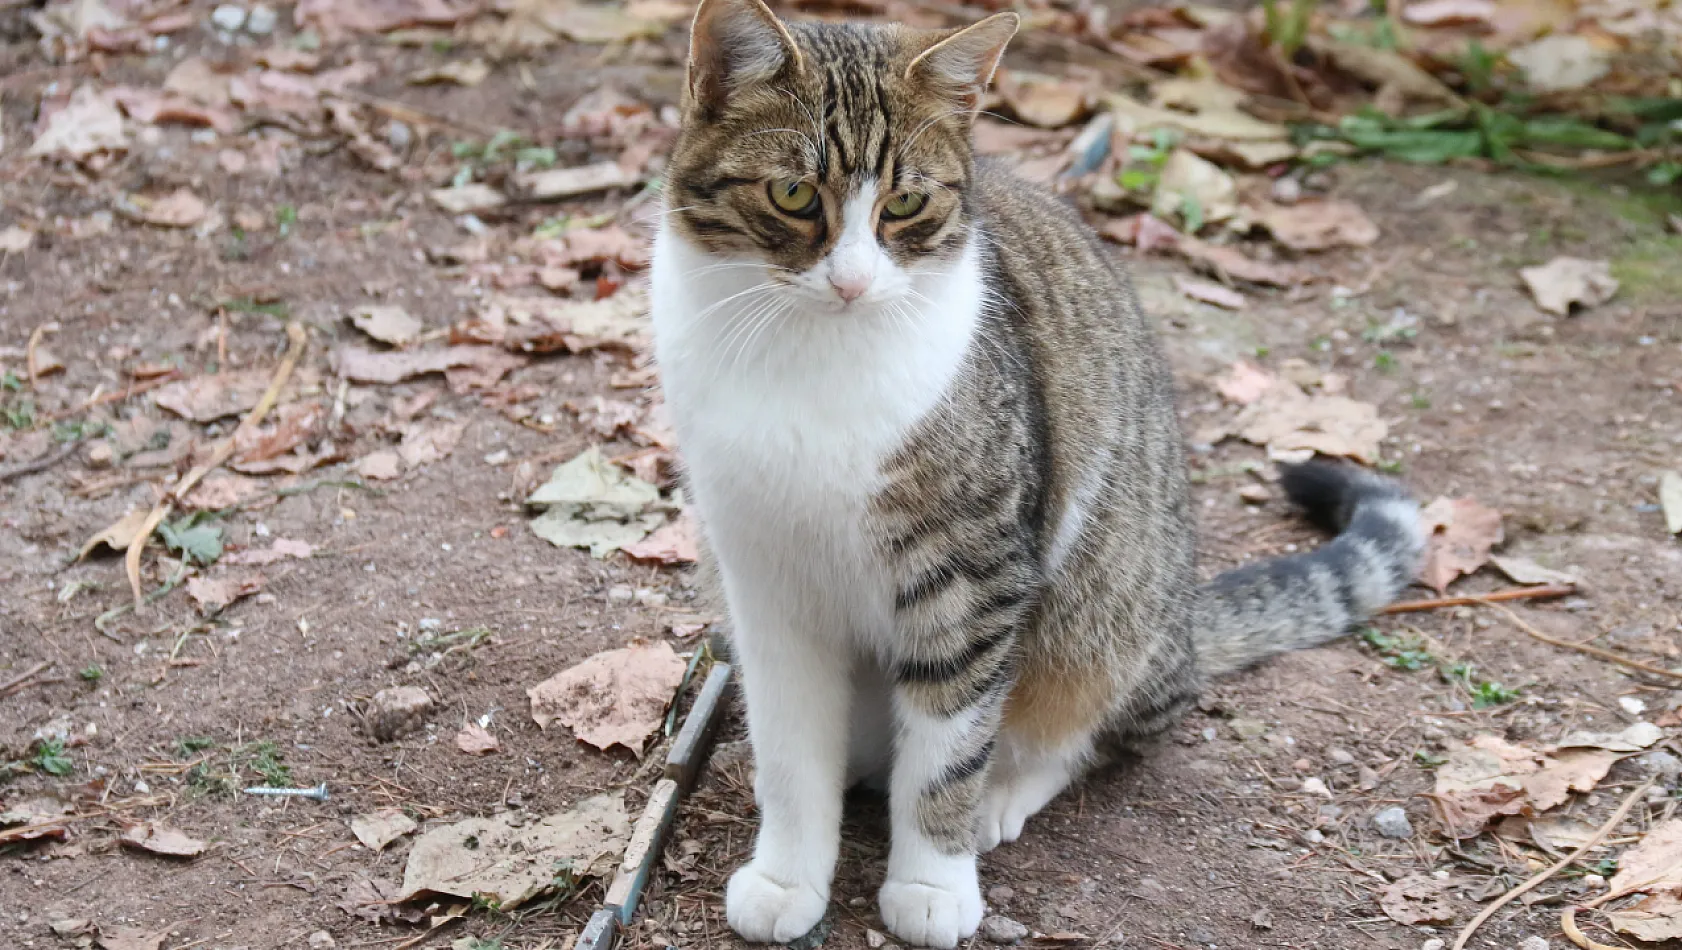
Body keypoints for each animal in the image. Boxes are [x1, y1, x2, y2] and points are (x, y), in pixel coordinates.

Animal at [649, 3, 1426, 941]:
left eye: (905, 203)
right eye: (795, 195)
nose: (853, 283)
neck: (806, 357)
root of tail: (1184, 625)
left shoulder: (972, 575)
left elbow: (949, 748)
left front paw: (933, 882)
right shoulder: (764, 579)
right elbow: (791, 750)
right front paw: (788, 874)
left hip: (1103, 614)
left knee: (1090, 729)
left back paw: (1004, 791)